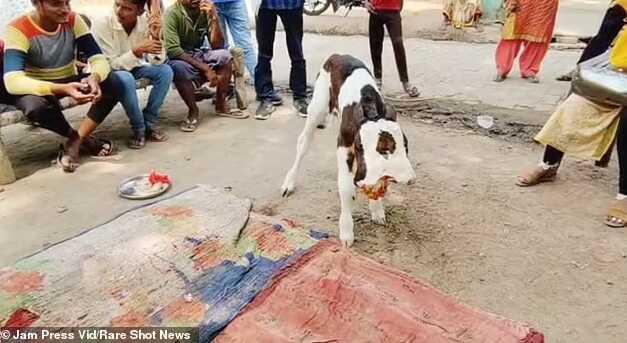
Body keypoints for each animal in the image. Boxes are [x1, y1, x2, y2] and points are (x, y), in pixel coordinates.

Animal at [280, 53, 418, 247]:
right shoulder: (343, 144)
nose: (411, 179)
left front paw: (376, 210)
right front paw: (346, 232)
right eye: (385, 150)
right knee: (303, 143)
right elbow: (346, 188)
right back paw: (289, 183)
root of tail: (337, 55)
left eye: (406, 146)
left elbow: (374, 182)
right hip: (317, 108)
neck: (370, 109)